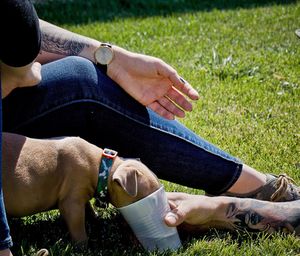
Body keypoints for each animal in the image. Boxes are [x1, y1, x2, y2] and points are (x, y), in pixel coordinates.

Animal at [1, 133, 162, 243]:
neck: (101, 166)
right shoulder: (71, 201)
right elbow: (78, 226)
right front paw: (83, 246)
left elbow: (88, 209)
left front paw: (96, 220)